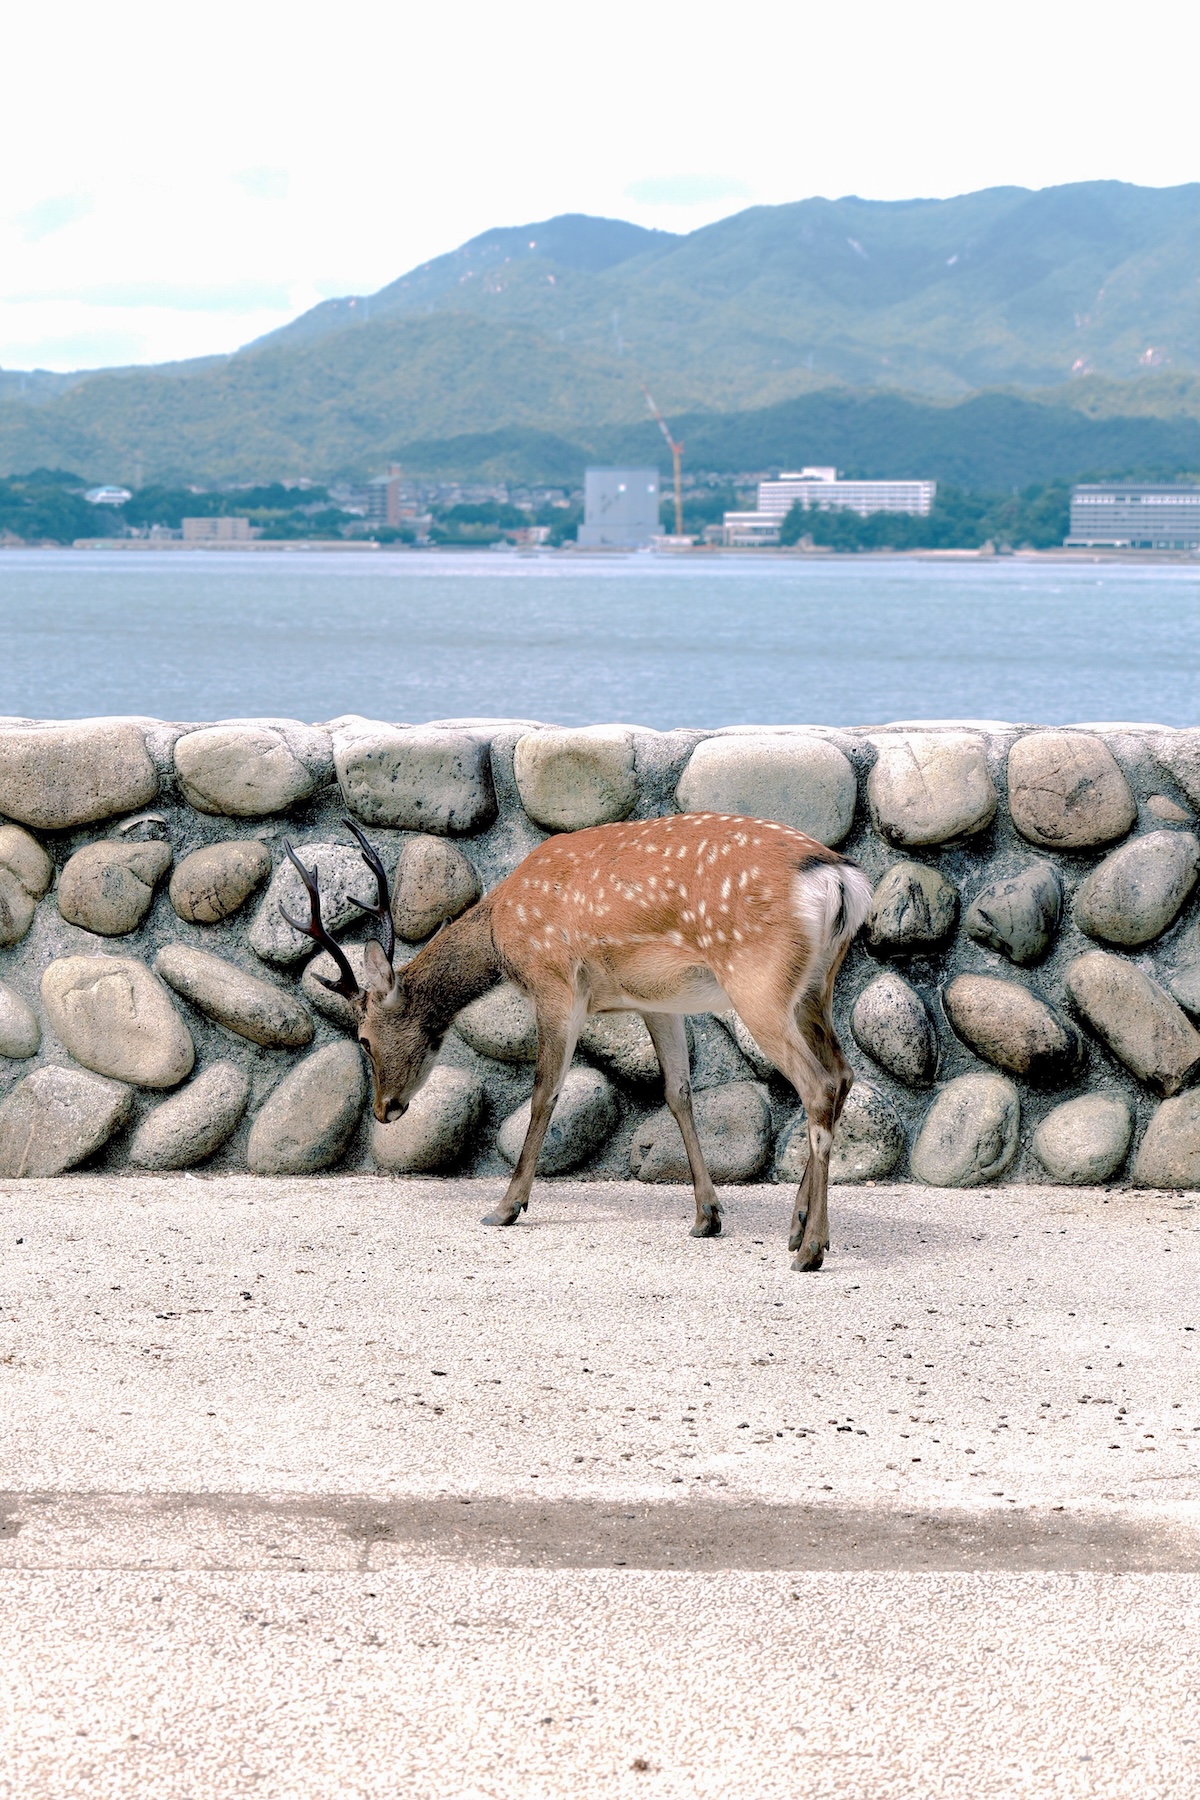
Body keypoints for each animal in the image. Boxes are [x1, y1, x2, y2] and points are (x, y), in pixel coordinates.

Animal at [282, 813, 872, 1270]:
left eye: (362, 1037)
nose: (384, 1110)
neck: (501, 930)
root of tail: (840, 880)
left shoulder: (555, 985)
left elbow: (544, 1092)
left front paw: (506, 1207)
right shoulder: (656, 1002)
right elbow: (677, 1094)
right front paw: (706, 1215)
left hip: (758, 981)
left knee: (817, 1085)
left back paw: (810, 1249)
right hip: (814, 988)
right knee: (842, 1074)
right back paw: (795, 1227)